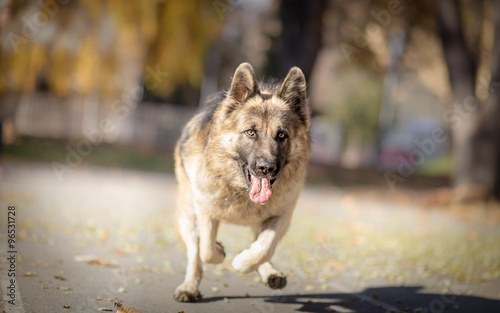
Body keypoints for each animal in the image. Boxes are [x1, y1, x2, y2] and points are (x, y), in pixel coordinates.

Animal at [174, 62, 310, 302]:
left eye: (282, 135)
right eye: (250, 132)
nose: (266, 168)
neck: (241, 192)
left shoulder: (282, 215)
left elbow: (264, 247)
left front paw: (242, 262)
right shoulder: (206, 211)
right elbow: (206, 250)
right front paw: (220, 251)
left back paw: (270, 273)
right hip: (187, 214)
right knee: (195, 253)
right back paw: (189, 287)